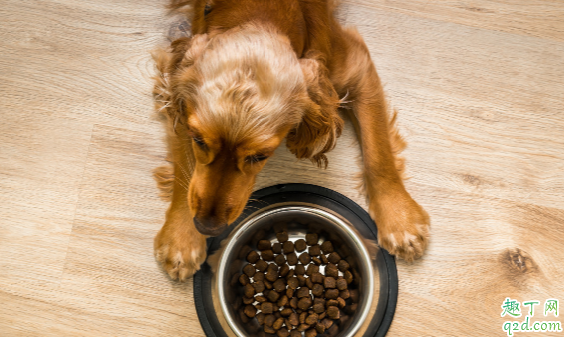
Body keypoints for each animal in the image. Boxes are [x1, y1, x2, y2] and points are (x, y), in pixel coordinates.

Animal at [152, 0, 430, 280]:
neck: (260, 14)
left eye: (259, 156)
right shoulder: (173, 87)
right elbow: (185, 168)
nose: (206, 227)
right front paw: (182, 238)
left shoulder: (356, 67)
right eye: (198, 140)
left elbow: (378, 152)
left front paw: (399, 220)